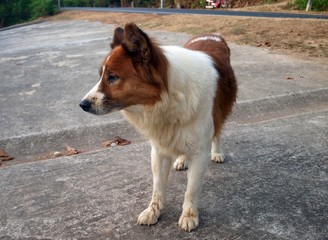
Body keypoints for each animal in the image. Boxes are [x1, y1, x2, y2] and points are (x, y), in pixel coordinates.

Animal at [80, 23, 237, 232]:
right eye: (101, 77)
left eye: (112, 77)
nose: (82, 105)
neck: (168, 98)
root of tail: (213, 35)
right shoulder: (159, 150)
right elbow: (158, 188)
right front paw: (153, 211)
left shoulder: (199, 153)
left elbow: (191, 190)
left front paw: (189, 214)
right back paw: (181, 160)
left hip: (222, 111)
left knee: (218, 132)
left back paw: (217, 152)